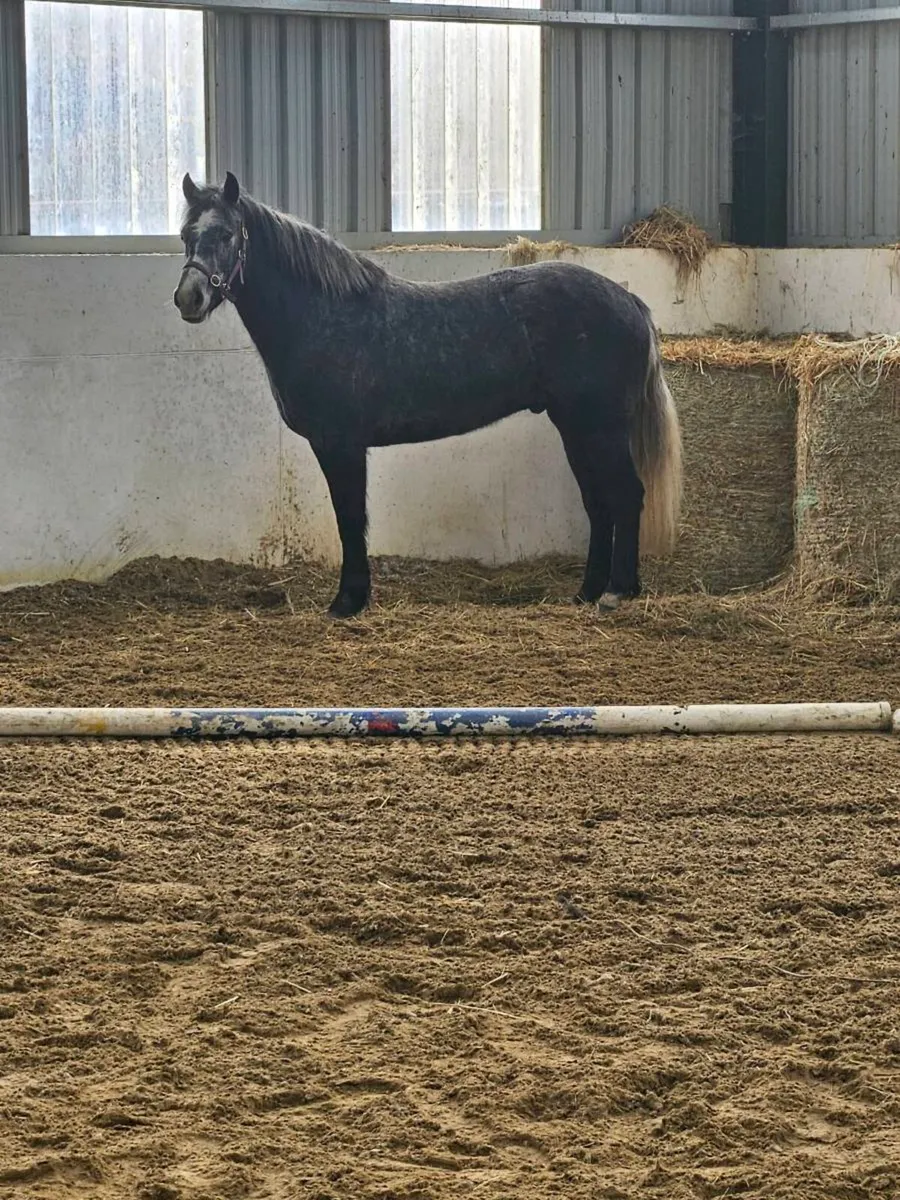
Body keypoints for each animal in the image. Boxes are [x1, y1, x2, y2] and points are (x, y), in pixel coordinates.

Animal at [174, 172, 683, 619]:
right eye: (185, 235)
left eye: (226, 234)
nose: (188, 298)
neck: (323, 317)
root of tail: (632, 303)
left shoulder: (340, 444)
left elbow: (350, 518)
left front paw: (348, 601)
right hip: (575, 427)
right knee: (598, 503)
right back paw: (587, 592)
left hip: (600, 428)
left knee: (626, 495)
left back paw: (617, 592)